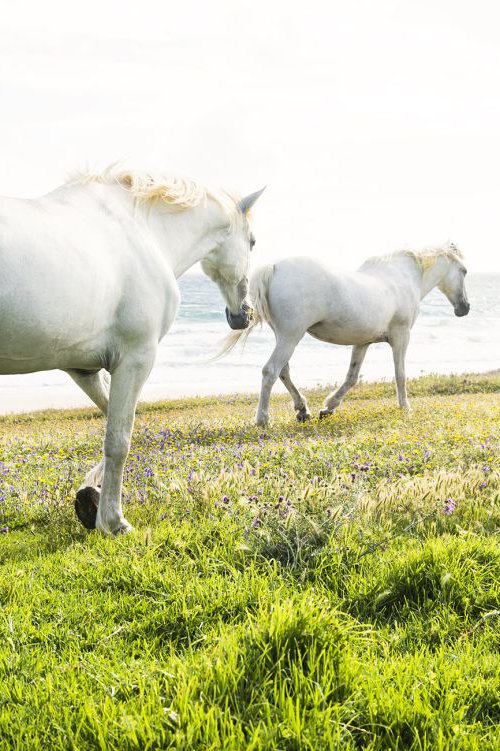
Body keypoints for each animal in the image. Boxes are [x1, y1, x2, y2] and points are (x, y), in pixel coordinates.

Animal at [0, 169, 266, 536]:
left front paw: (90, 495)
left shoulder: (85, 368)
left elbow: (114, 427)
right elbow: (119, 440)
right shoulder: (136, 359)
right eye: (252, 241)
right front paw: (113, 521)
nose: (243, 316)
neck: (144, 233)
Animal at [219, 244, 468, 426]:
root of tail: (273, 267)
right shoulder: (401, 336)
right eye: (464, 271)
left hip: (284, 337)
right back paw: (263, 419)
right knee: (270, 371)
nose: (464, 308)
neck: (404, 277)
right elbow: (400, 374)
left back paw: (303, 410)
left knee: (283, 371)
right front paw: (405, 407)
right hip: (290, 337)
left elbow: (352, 377)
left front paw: (328, 407)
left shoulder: (363, 342)